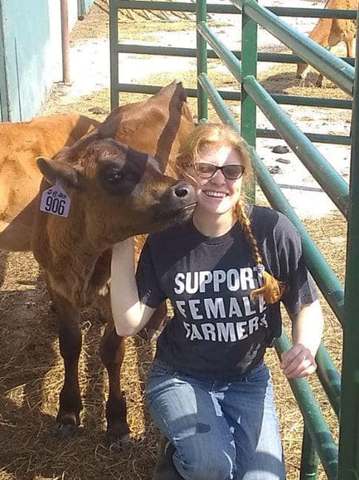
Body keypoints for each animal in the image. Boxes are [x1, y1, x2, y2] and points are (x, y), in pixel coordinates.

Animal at [0, 81, 197, 442]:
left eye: (154, 164)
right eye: (114, 175)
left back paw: (154, 323)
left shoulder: (122, 297)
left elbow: (111, 351)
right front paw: (67, 410)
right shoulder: (57, 285)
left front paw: (117, 419)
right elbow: (70, 345)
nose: (184, 191)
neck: (84, 254)